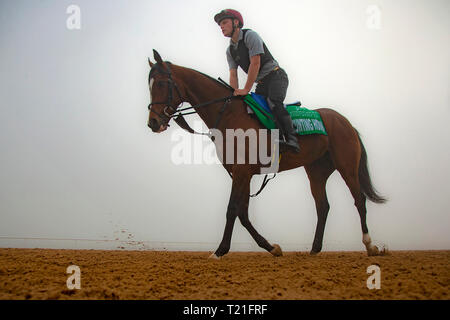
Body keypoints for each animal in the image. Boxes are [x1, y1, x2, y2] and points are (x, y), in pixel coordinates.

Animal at [146, 50, 384, 260]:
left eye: (161, 83)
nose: (153, 123)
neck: (229, 114)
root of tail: (345, 122)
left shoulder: (242, 171)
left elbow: (232, 209)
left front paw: (220, 251)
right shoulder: (243, 173)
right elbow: (243, 213)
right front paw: (272, 247)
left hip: (347, 166)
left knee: (359, 200)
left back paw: (370, 245)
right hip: (316, 171)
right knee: (322, 206)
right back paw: (315, 249)